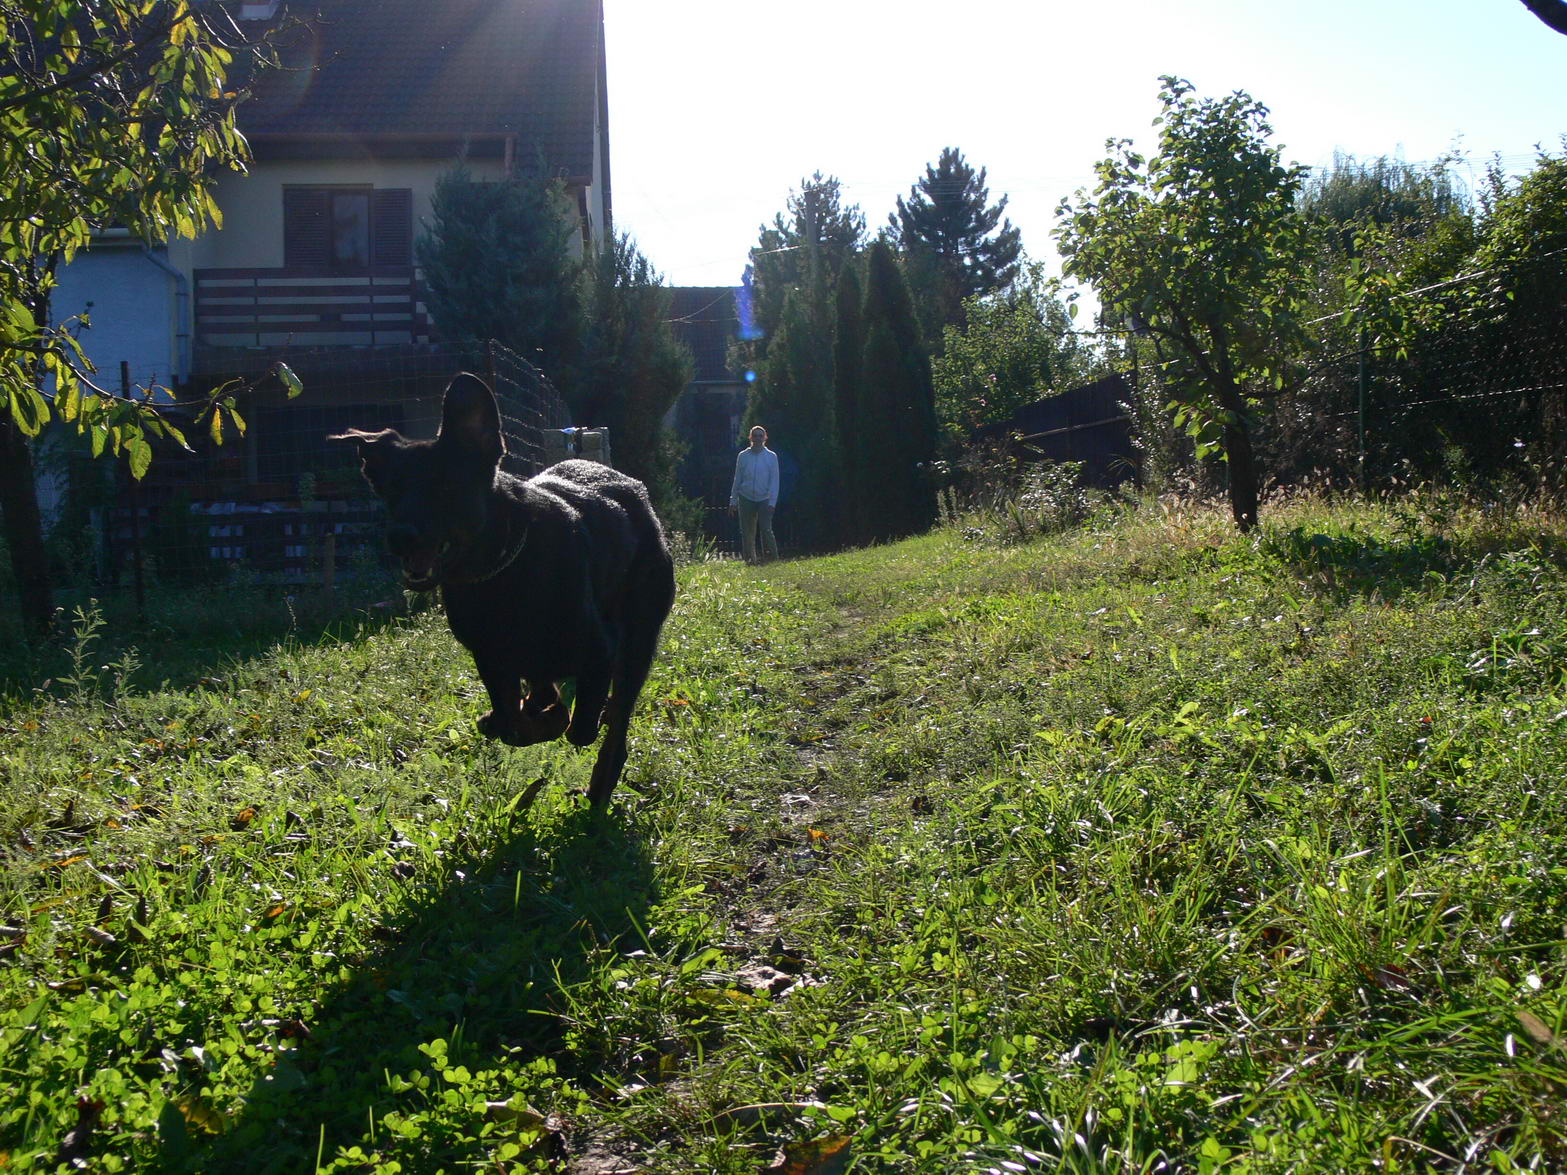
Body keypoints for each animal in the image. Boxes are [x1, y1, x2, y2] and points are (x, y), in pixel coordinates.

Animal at [331, 373, 676, 806]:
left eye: (447, 487)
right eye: (392, 490)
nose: (400, 537)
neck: (500, 575)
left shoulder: (600, 654)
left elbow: (576, 728)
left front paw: (552, 719)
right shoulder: (491, 658)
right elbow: (513, 719)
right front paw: (522, 715)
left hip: (637, 642)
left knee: (614, 729)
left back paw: (598, 787)